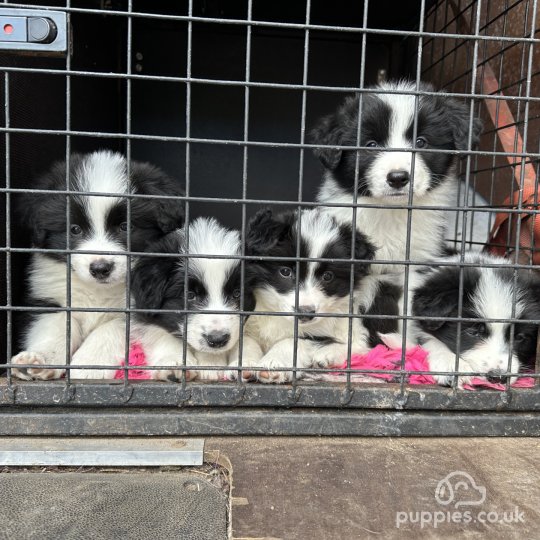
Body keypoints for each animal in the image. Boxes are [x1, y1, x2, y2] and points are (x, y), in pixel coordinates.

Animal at [10, 150, 184, 382]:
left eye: (125, 227)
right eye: (74, 229)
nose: (101, 268)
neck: (98, 290)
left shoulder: (136, 309)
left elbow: (108, 329)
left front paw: (87, 365)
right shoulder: (49, 298)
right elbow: (57, 326)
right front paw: (39, 358)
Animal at [132, 215, 264, 380]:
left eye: (237, 294)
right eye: (190, 295)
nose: (217, 339)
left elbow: (245, 338)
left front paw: (244, 364)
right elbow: (160, 332)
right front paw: (174, 363)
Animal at [245, 208, 376, 384]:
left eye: (328, 276)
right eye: (285, 272)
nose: (305, 313)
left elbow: (294, 341)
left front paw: (274, 364)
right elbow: (245, 339)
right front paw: (242, 363)